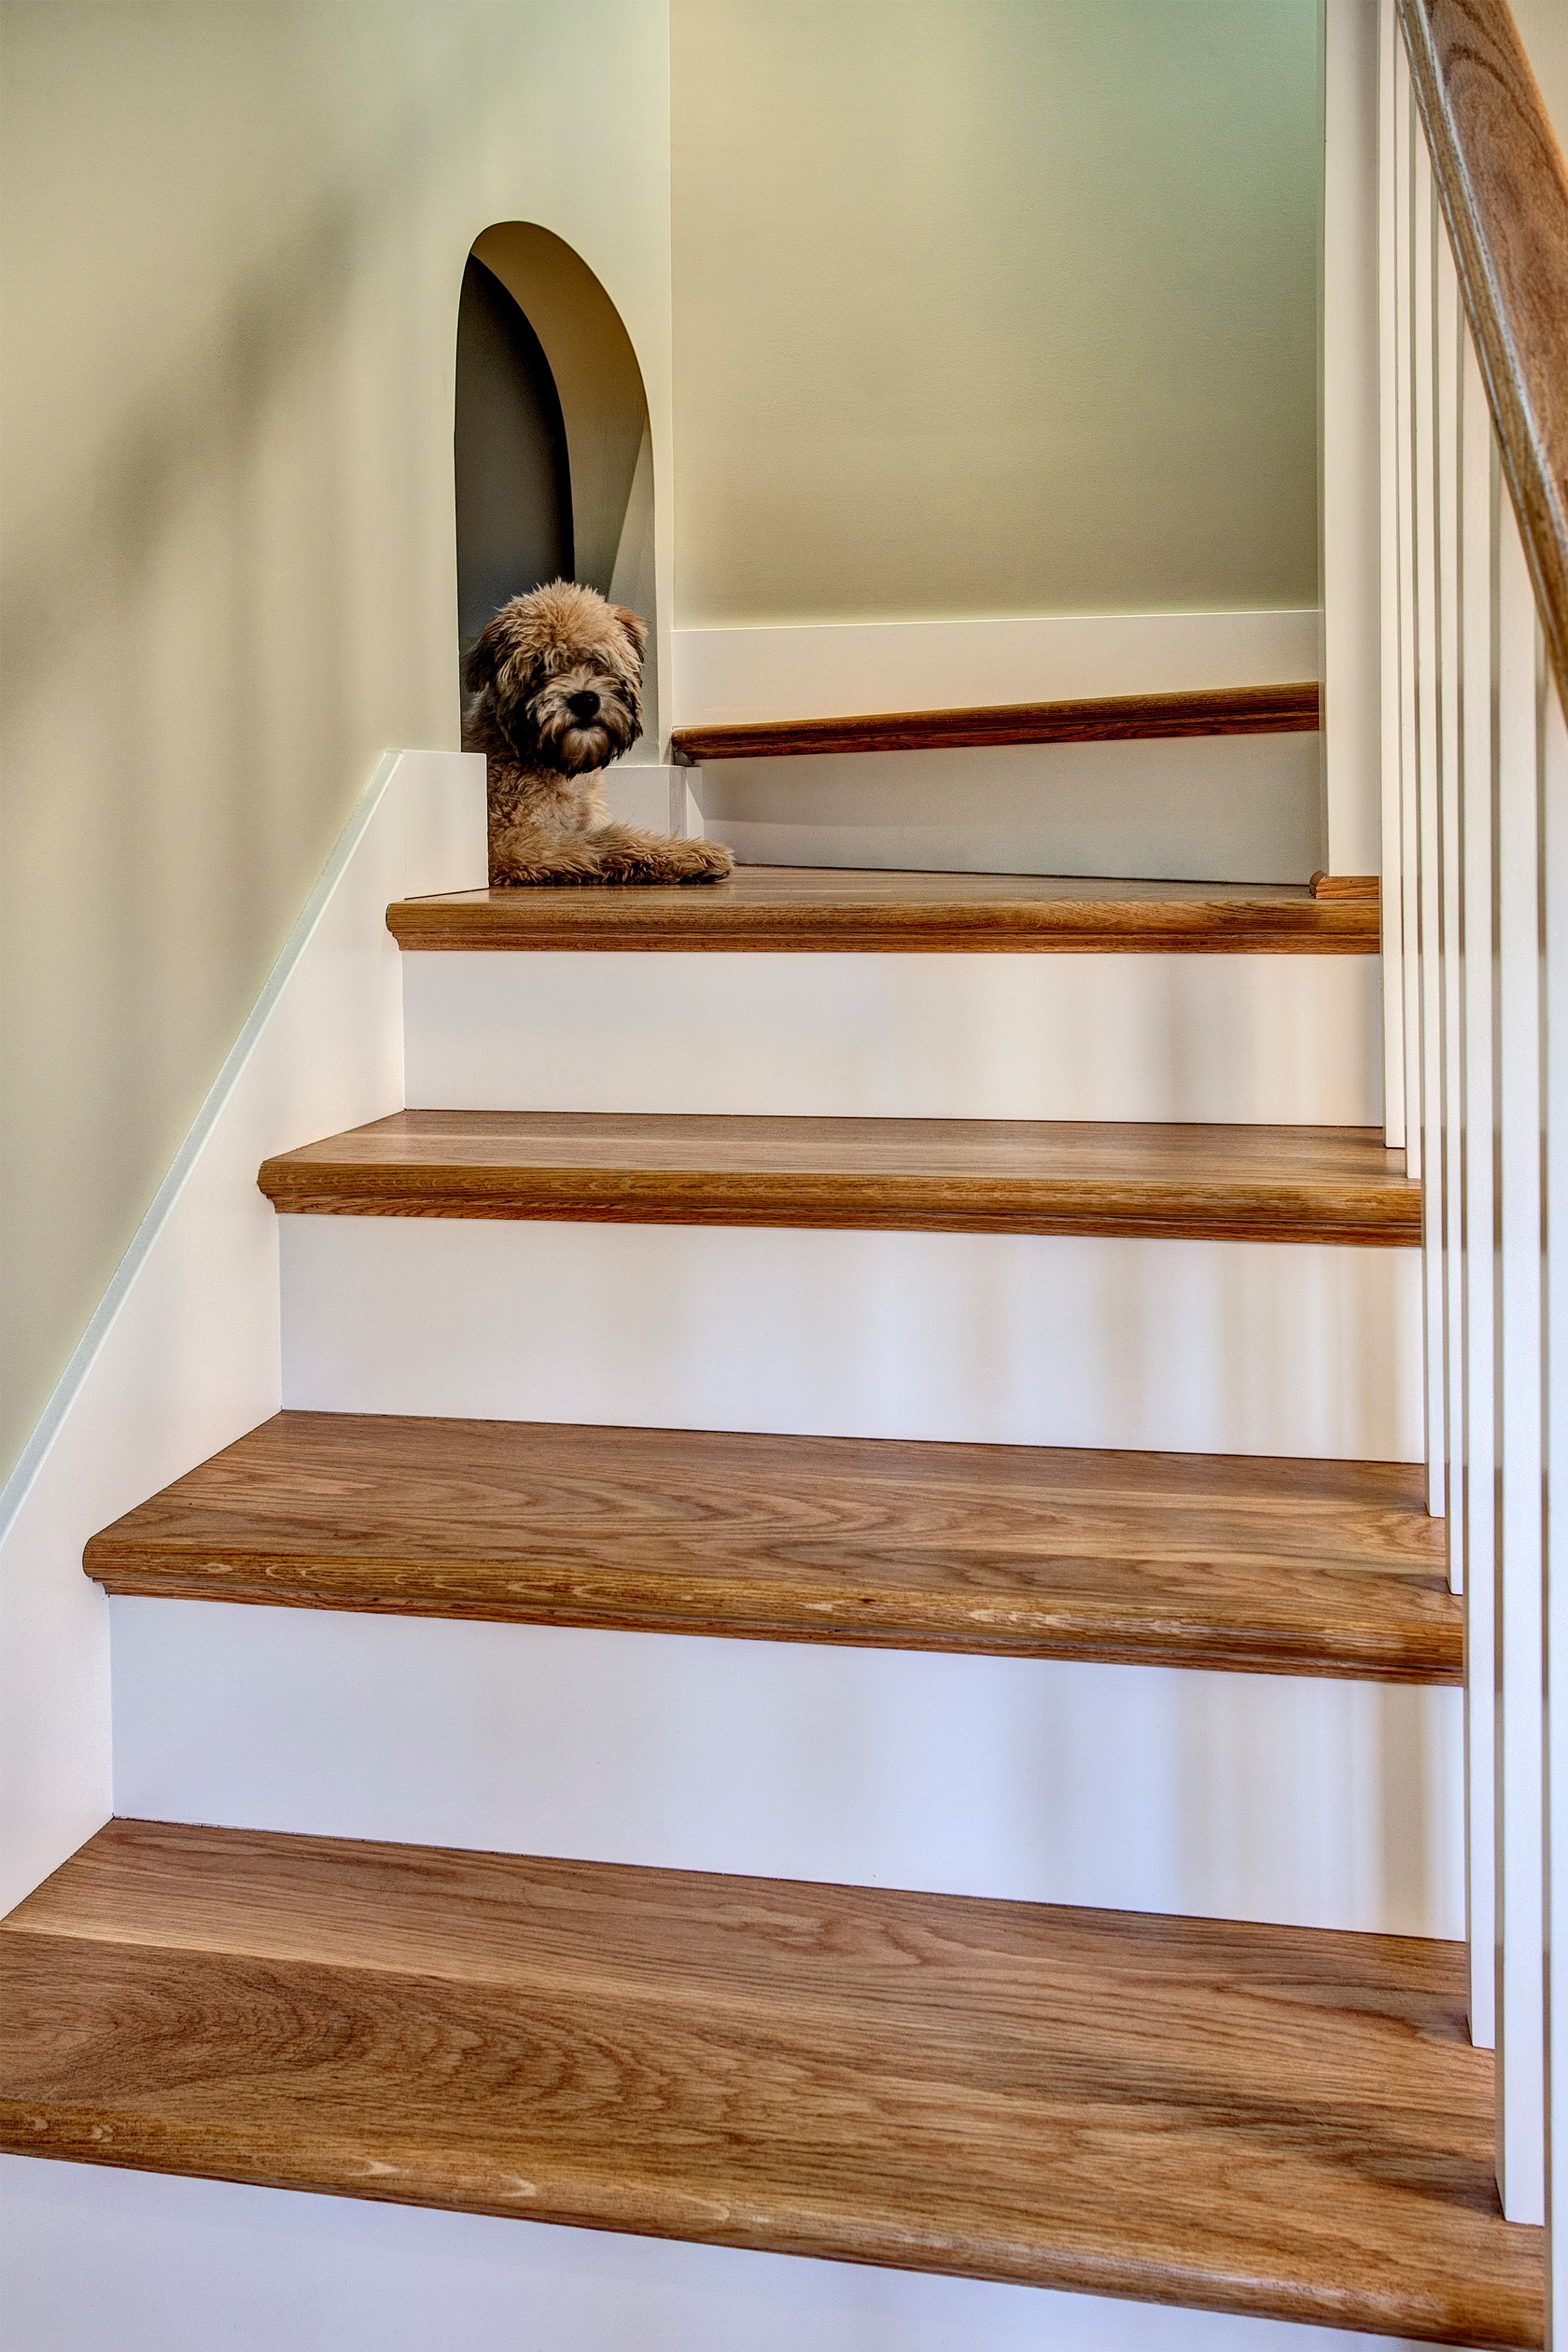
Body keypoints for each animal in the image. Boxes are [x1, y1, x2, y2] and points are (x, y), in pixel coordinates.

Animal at [465, 582, 737, 884]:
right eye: (540, 666)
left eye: (597, 660)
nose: (585, 700)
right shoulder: (507, 842)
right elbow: (608, 839)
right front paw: (692, 853)